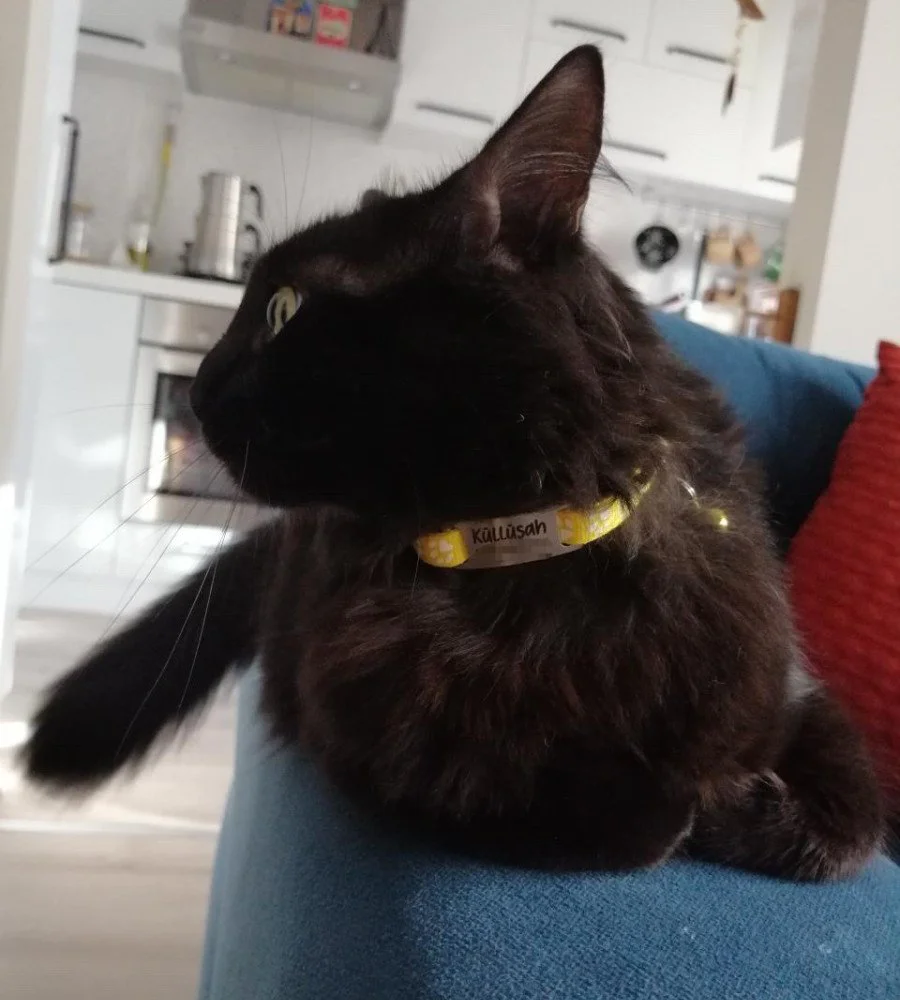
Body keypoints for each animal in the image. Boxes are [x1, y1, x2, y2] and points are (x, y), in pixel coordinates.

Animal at [23, 46, 883, 880]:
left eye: (284, 308)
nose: (198, 389)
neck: (526, 560)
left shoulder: (799, 696)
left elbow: (855, 816)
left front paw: (750, 803)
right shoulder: (361, 734)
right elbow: (627, 817)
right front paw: (706, 799)